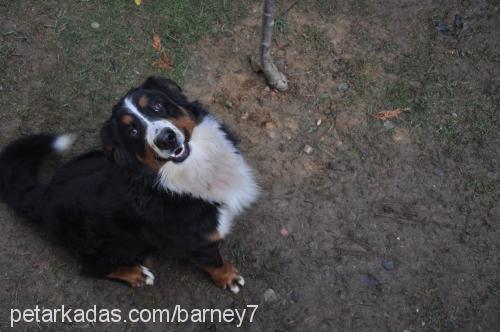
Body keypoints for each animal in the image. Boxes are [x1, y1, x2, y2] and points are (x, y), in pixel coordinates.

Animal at [0, 76, 258, 294]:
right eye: (132, 130)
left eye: (157, 106)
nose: (166, 139)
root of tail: (44, 193)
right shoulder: (198, 242)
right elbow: (214, 261)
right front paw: (229, 278)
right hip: (116, 246)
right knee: (91, 267)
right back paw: (137, 275)